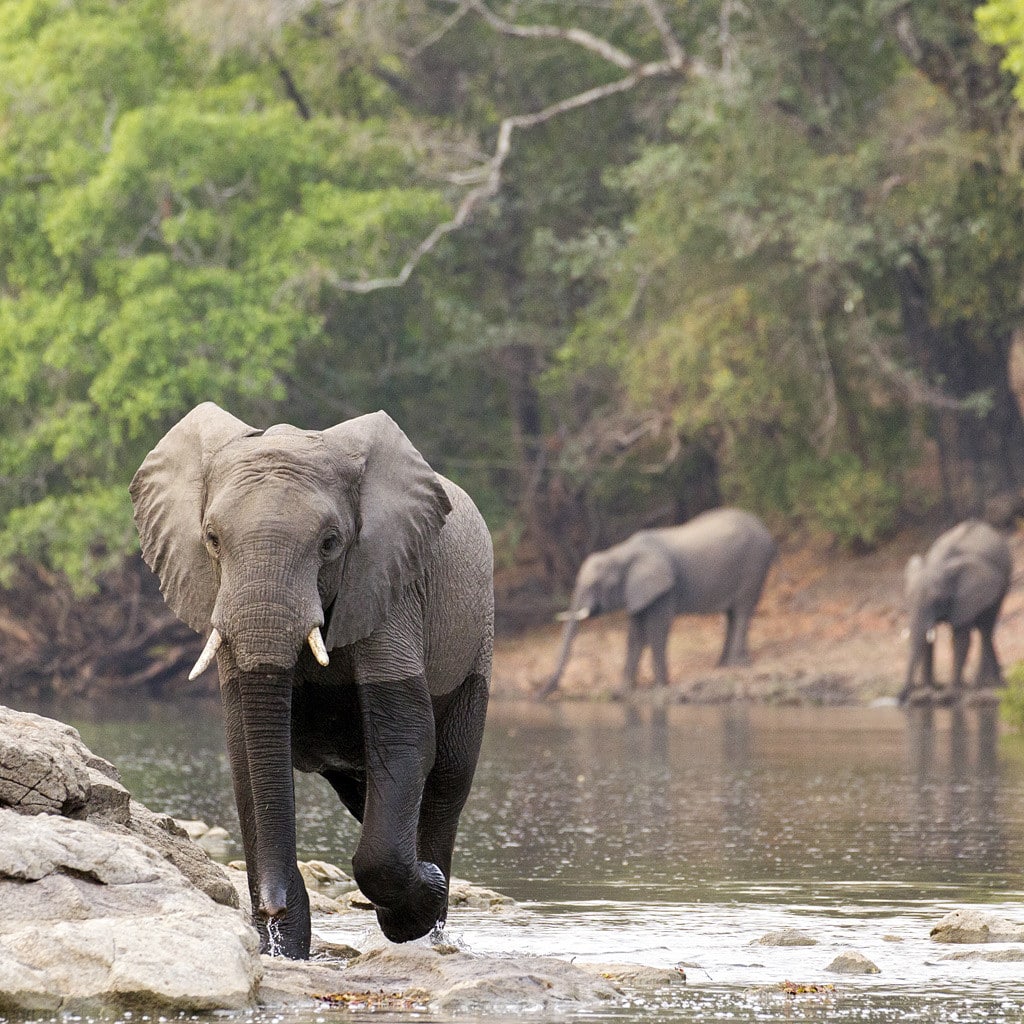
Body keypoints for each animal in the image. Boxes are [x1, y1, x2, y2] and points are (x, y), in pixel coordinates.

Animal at [131, 402, 493, 959]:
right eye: (211, 539)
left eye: (330, 543)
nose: (271, 907)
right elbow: (245, 750)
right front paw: (281, 952)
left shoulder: (390, 584)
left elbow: (405, 736)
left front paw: (420, 895)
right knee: (364, 793)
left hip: (478, 642)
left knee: (448, 779)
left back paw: (428, 921)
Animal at [540, 508, 776, 698]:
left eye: (597, 585)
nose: (539, 695)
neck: (622, 552)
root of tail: (765, 529)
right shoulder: (636, 590)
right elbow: (635, 634)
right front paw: (623, 691)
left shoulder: (664, 588)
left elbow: (656, 629)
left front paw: (660, 687)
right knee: (731, 614)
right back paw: (724, 665)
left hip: (754, 564)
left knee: (743, 610)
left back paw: (739, 665)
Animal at [899, 520, 1012, 705]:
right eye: (907, 597)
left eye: (937, 599)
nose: (901, 700)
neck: (939, 564)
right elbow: (927, 641)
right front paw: (927, 694)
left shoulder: (965, 597)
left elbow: (960, 639)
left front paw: (949, 695)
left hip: (1004, 580)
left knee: (986, 629)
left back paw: (983, 687)